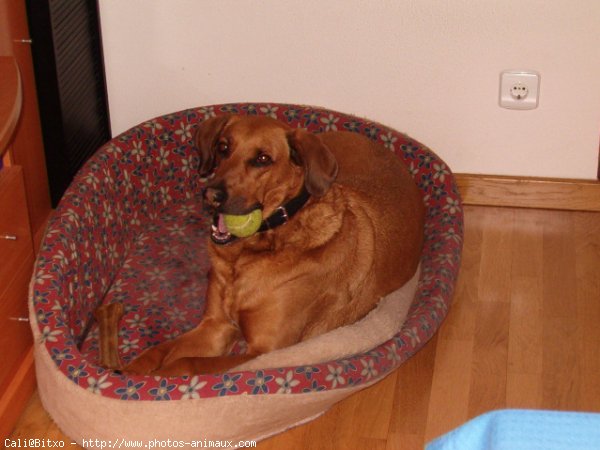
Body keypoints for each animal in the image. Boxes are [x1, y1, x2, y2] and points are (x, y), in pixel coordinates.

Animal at [120, 115, 422, 376]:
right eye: (223, 147)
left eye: (262, 159)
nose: (211, 194)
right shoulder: (216, 325)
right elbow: (162, 350)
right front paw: (130, 372)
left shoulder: (264, 350)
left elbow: (187, 363)